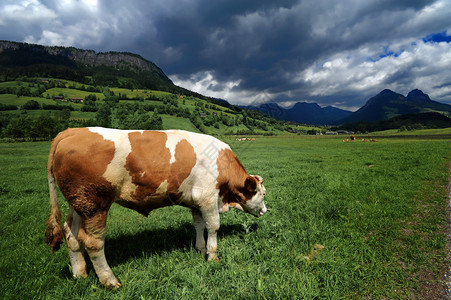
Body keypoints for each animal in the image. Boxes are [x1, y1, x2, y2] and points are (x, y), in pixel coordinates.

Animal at [45, 127, 268, 288]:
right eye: (263, 193)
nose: (266, 211)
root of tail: (71, 131)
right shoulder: (208, 197)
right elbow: (213, 227)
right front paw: (212, 257)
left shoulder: (195, 201)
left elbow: (198, 225)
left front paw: (200, 248)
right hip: (95, 204)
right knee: (93, 243)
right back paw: (110, 281)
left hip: (79, 204)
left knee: (71, 234)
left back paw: (80, 274)